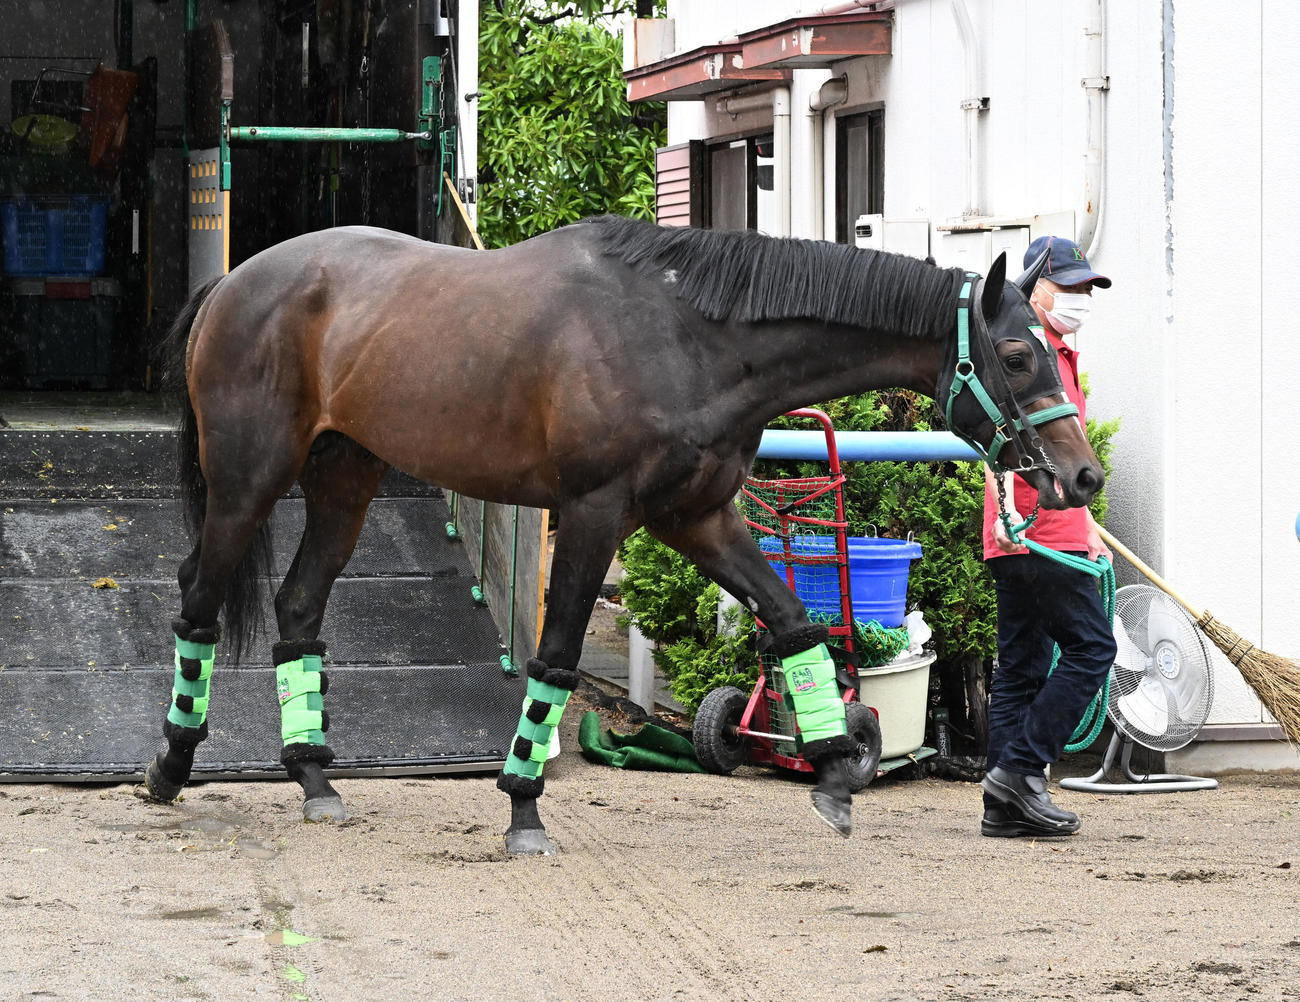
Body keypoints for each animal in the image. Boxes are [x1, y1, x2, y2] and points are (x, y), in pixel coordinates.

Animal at [145, 215, 1103, 855]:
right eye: (1018, 355)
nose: (1082, 477)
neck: (687, 336)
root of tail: (234, 283)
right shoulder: (595, 514)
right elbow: (558, 658)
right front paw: (523, 806)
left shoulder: (698, 517)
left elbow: (794, 624)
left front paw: (834, 770)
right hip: (249, 481)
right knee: (199, 596)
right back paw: (169, 769)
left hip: (345, 476)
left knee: (300, 606)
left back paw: (314, 777)